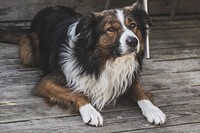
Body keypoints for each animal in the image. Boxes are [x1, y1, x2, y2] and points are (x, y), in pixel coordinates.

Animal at [0, 0, 166, 127]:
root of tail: (49, 7)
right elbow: (76, 93)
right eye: (111, 29)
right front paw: (90, 111)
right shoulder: (46, 82)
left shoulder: (125, 76)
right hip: (28, 52)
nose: (133, 42)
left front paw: (153, 110)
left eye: (133, 26)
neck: (104, 59)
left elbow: (140, 91)